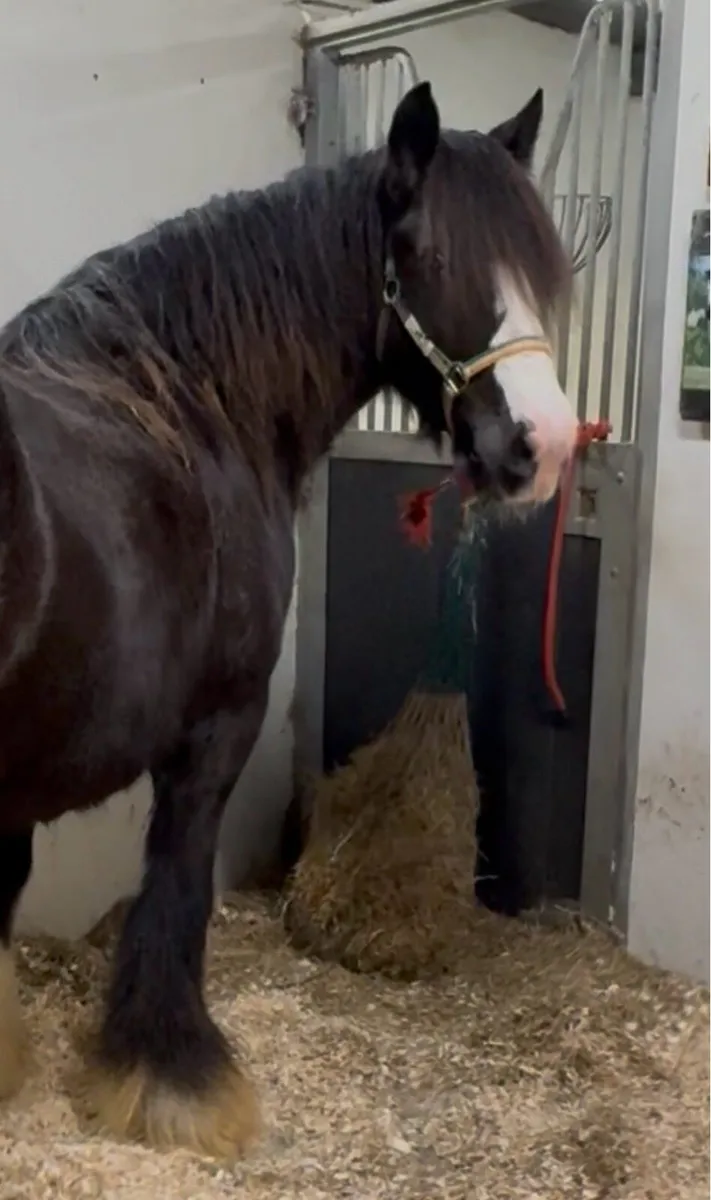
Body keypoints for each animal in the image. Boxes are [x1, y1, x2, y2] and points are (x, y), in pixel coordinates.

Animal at [0, 81, 577, 1157]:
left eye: (539, 266)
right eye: (430, 255)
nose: (547, 444)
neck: (184, 399)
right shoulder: (215, 729)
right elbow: (178, 887)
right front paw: (174, 1083)